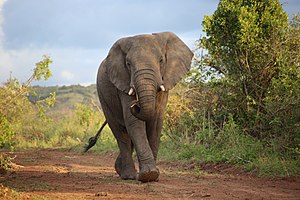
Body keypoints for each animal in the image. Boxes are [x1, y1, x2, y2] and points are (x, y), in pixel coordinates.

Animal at [85, 31, 193, 183]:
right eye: (128, 64)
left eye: (161, 60)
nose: (135, 105)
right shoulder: (123, 80)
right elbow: (134, 122)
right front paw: (149, 175)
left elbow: (156, 122)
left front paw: (153, 176)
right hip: (103, 95)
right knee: (121, 133)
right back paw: (128, 176)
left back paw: (120, 169)